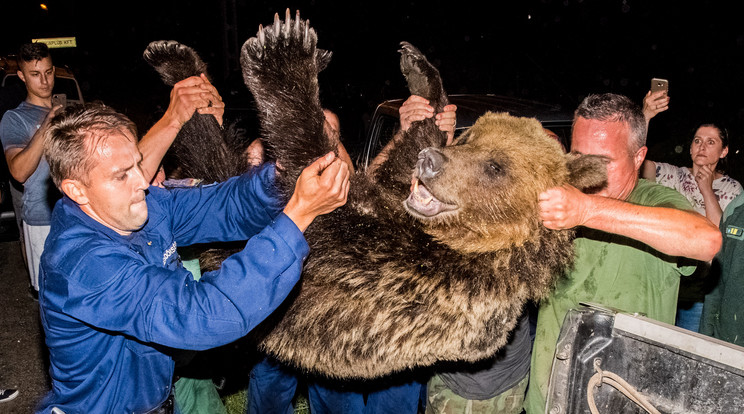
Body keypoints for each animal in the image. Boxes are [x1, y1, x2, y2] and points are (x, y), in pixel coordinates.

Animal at [144, 8, 604, 378]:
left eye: (496, 167)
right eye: (470, 138)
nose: (432, 162)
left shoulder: (406, 276)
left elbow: (317, 189)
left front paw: (285, 53)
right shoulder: (396, 195)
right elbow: (400, 154)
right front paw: (421, 76)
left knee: (215, 166)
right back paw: (178, 66)